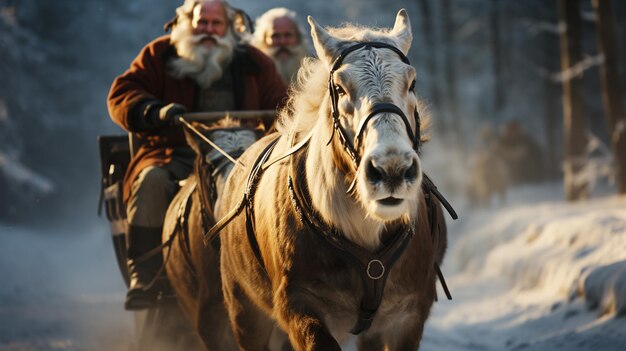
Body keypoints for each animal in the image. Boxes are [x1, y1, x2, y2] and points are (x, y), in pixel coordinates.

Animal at [214, 9, 448, 351]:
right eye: (339, 88)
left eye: (412, 82)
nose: (391, 169)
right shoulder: (299, 306)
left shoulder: (406, 316)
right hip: (245, 313)